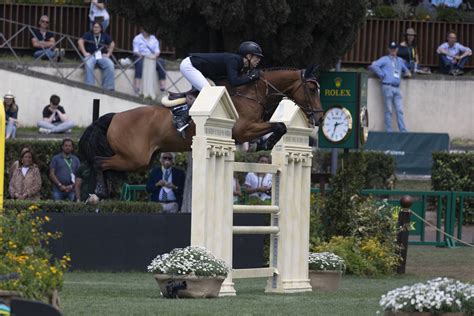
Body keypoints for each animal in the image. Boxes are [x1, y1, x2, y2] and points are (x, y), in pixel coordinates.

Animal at [79, 66, 324, 195]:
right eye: (312, 89)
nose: (320, 118)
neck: (252, 93)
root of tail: (115, 116)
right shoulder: (243, 130)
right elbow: (280, 125)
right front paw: (266, 143)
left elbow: (279, 126)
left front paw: (264, 143)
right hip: (134, 158)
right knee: (100, 162)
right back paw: (98, 191)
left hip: (143, 160)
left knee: (106, 164)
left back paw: (104, 190)